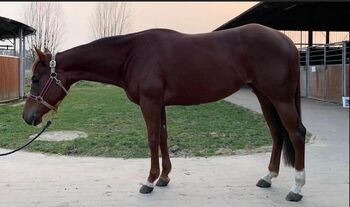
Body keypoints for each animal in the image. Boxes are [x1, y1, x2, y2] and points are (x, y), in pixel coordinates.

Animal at [21, 23, 306, 201]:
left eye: (35, 79)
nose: (27, 117)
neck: (133, 54)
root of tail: (288, 42)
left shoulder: (150, 103)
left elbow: (152, 139)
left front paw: (149, 181)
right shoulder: (160, 105)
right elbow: (164, 138)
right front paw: (164, 178)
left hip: (279, 98)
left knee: (296, 133)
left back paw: (296, 188)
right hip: (265, 97)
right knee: (277, 133)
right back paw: (268, 177)